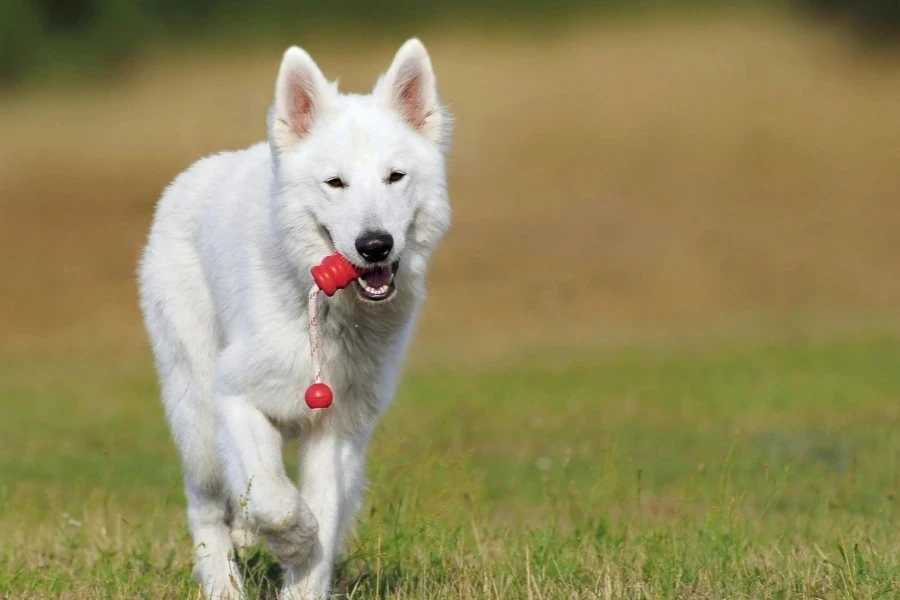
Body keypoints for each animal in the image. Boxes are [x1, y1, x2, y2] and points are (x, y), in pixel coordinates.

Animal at [136, 39, 450, 596]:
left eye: (395, 177)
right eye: (335, 183)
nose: (375, 245)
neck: (326, 314)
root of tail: (190, 177)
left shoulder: (338, 430)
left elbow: (321, 513)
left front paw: (304, 569)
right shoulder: (236, 398)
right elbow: (275, 502)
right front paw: (292, 539)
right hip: (197, 417)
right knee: (206, 508)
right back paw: (223, 585)